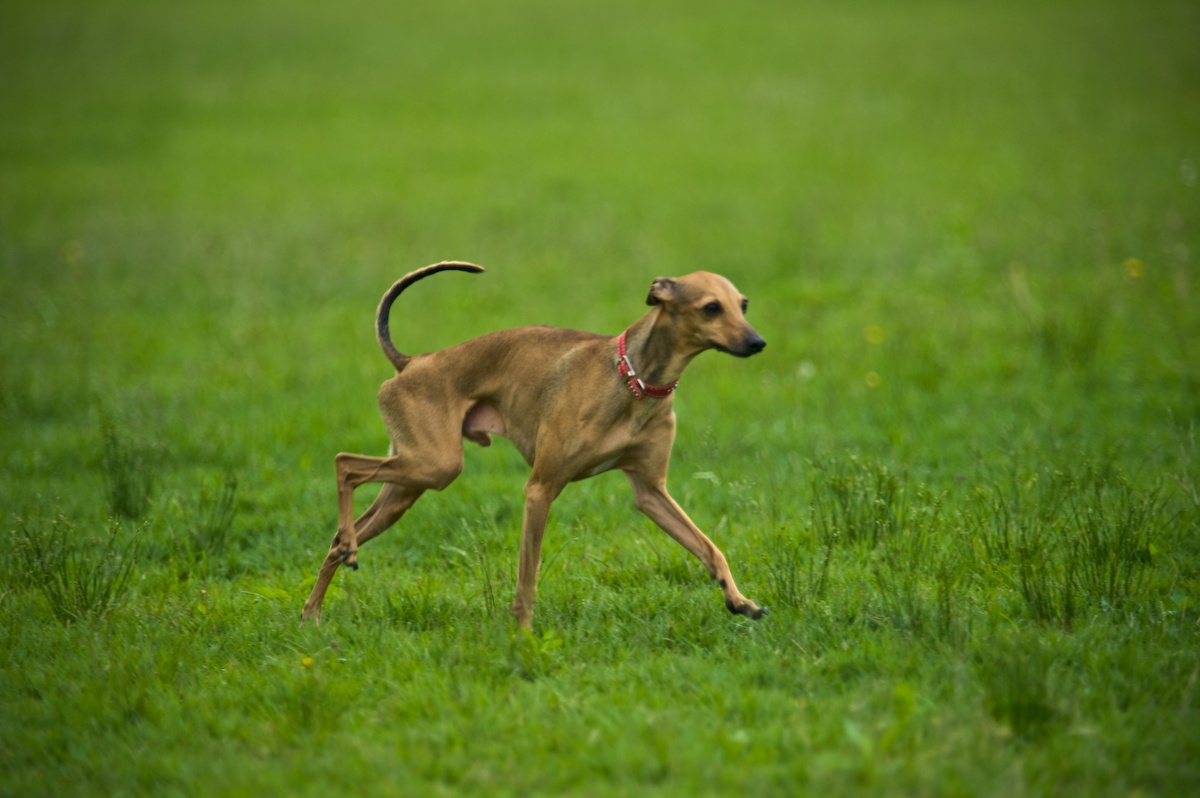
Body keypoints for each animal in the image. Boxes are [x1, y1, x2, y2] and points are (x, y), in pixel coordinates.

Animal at [301, 262, 767, 629]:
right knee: (344, 463)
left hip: (409, 483)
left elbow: (709, 548)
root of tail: (412, 362)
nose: (757, 343)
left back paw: (315, 608)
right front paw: (522, 635)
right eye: (711, 307)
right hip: (434, 466)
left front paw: (740, 601)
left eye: (743, 305)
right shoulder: (540, 489)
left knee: (335, 539)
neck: (633, 379)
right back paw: (342, 558)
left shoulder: (651, 492)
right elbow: (528, 575)